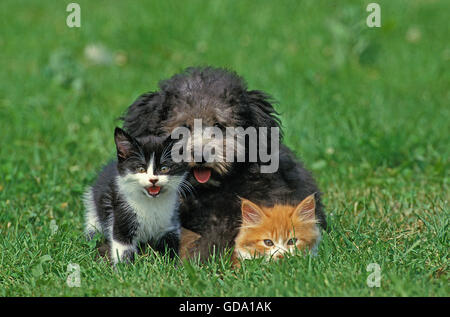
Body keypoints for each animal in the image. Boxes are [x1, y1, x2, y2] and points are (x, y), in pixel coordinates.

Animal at [83, 127, 189, 262]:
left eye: (164, 168)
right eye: (141, 169)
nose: (153, 179)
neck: (151, 202)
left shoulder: (171, 222)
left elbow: (170, 244)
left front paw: (169, 262)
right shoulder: (122, 212)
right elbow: (122, 245)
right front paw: (124, 266)